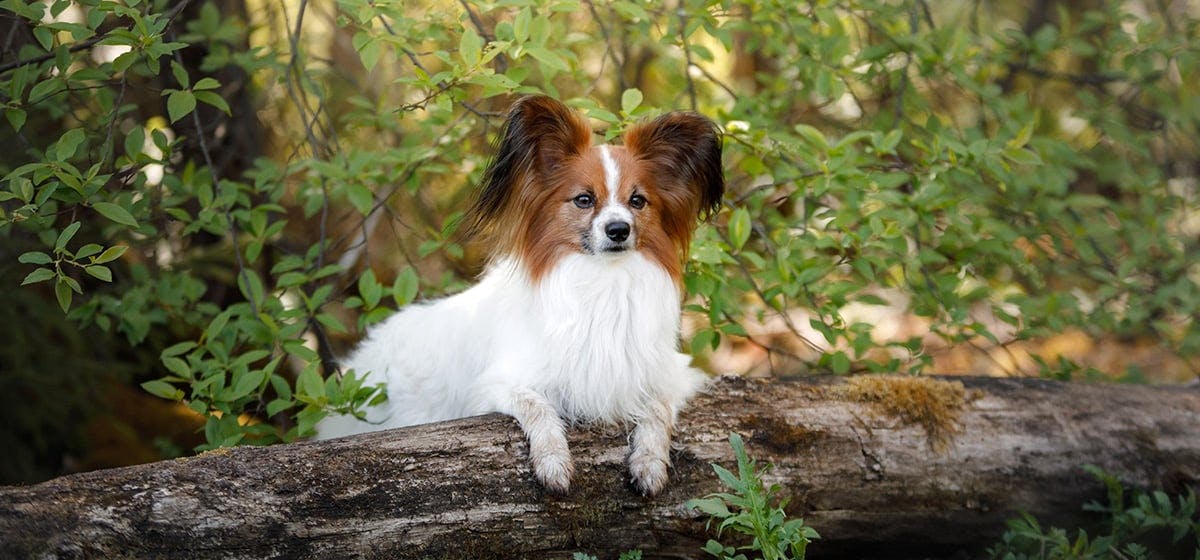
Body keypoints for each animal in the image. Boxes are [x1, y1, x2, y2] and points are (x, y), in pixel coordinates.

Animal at [316, 95, 720, 496]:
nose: (618, 229)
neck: (602, 280)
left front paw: (650, 462)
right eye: (584, 199)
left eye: (637, 201)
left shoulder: (668, 373)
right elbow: (538, 406)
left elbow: (658, 409)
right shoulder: (498, 384)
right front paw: (553, 461)